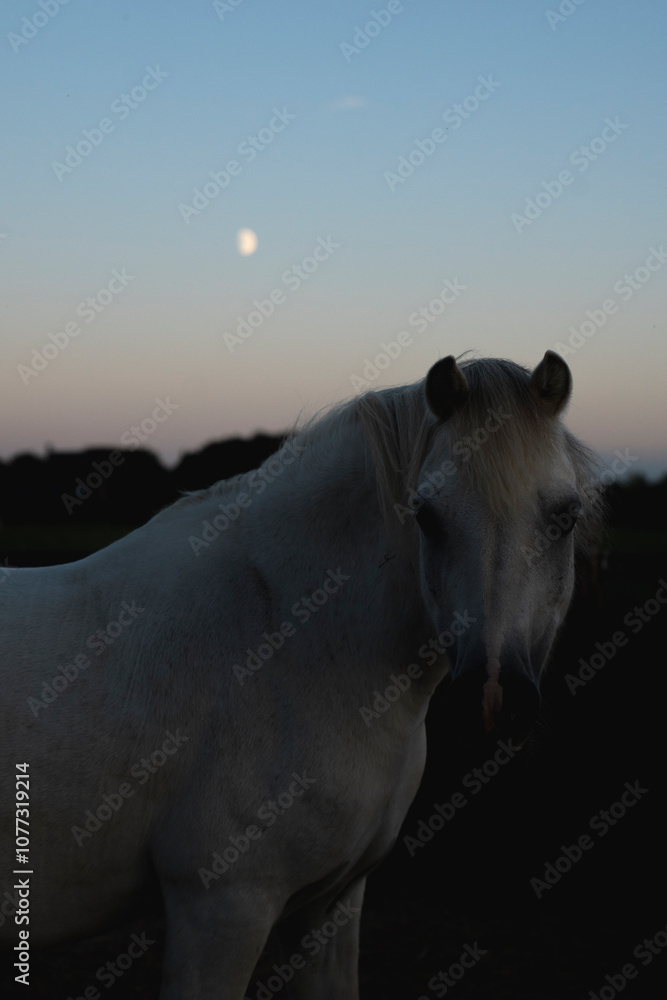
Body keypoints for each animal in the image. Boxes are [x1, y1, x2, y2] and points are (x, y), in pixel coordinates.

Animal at [0, 351, 603, 998]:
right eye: (426, 516)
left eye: (566, 518)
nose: (489, 700)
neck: (282, 640)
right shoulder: (220, 909)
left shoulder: (330, 902)